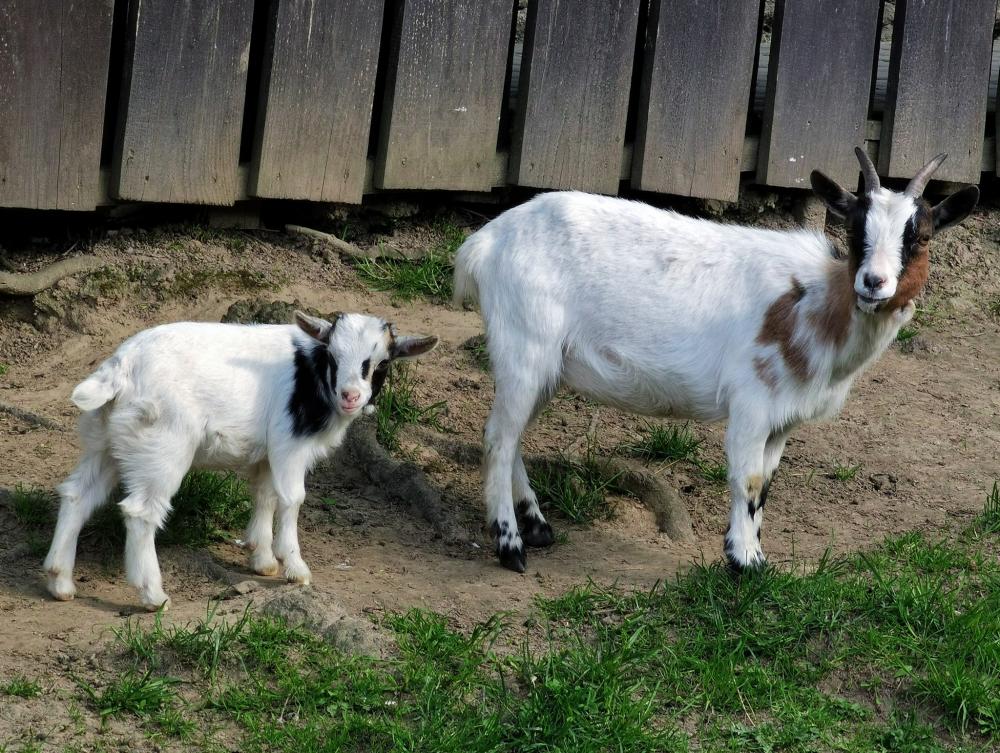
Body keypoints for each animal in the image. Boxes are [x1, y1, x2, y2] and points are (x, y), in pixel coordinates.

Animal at [43, 311, 438, 609]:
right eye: (333, 357)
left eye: (382, 363)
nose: (351, 395)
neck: (312, 377)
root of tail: (120, 369)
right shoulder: (289, 445)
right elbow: (292, 499)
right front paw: (295, 567)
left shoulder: (265, 455)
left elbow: (265, 495)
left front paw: (262, 559)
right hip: (162, 448)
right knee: (141, 512)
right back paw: (153, 595)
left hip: (106, 443)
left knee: (77, 494)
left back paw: (59, 581)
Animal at [453, 148, 978, 573]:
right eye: (854, 230)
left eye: (921, 237)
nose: (873, 283)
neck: (811, 303)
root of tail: (483, 244)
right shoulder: (751, 404)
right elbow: (746, 478)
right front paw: (742, 563)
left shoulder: (783, 421)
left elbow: (765, 485)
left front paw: (754, 554)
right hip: (524, 345)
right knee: (498, 438)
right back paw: (510, 545)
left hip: (547, 366)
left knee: (513, 435)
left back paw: (537, 525)